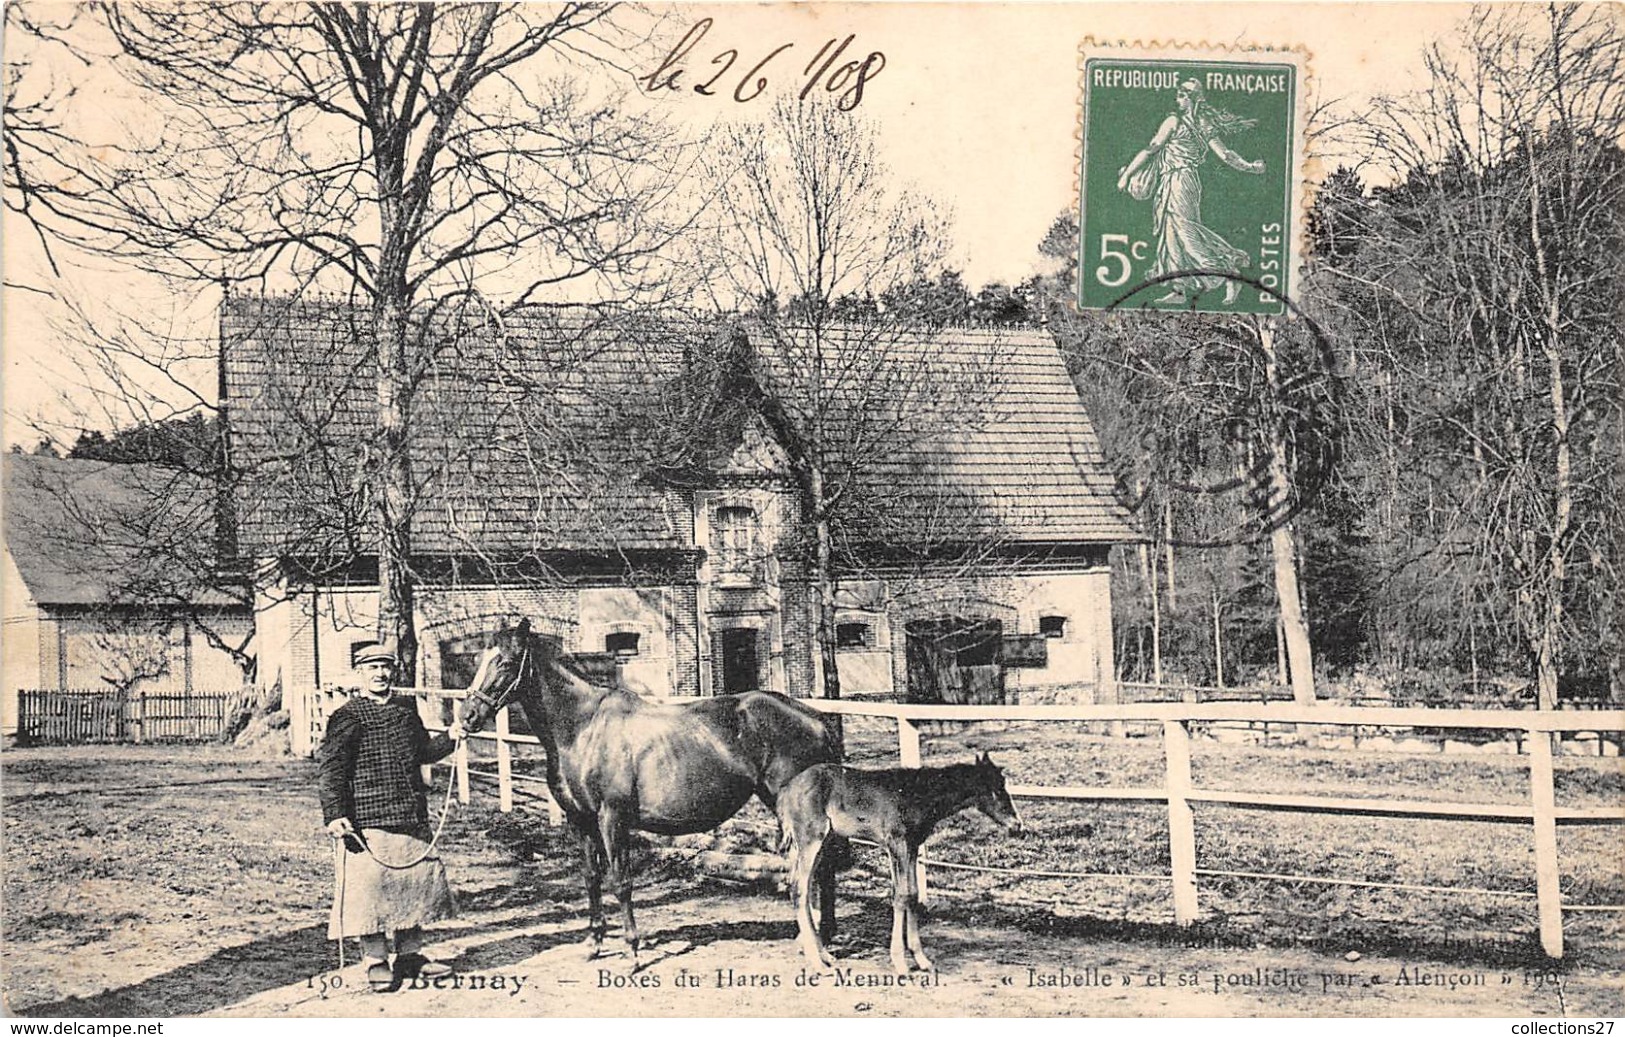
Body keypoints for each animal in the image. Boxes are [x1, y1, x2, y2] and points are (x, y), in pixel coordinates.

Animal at [773, 754, 1014, 975]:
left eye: (1003, 784)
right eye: (995, 789)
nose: (1016, 824)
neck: (916, 794)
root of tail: (786, 790)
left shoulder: (912, 846)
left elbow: (913, 894)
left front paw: (922, 960)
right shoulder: (896, 843)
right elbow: (900, 895)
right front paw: (900, 962)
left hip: (822, 842)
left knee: (803, 888)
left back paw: (825, 956)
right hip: (810, 839)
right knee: (798, 888)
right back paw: (817, 963)